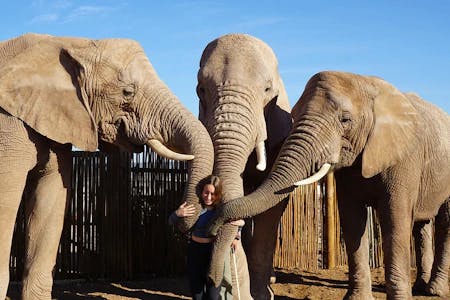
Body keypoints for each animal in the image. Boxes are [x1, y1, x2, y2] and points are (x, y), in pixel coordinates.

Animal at [210, 71, 450, 300]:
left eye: (345, 120)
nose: (214, 226)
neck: (365, 82)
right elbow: (352, 221)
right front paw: (357, 299)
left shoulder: (405, 159)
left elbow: (395, 220)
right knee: (422, 225)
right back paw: (421, 286)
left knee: (444, 223)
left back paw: (433, 291)